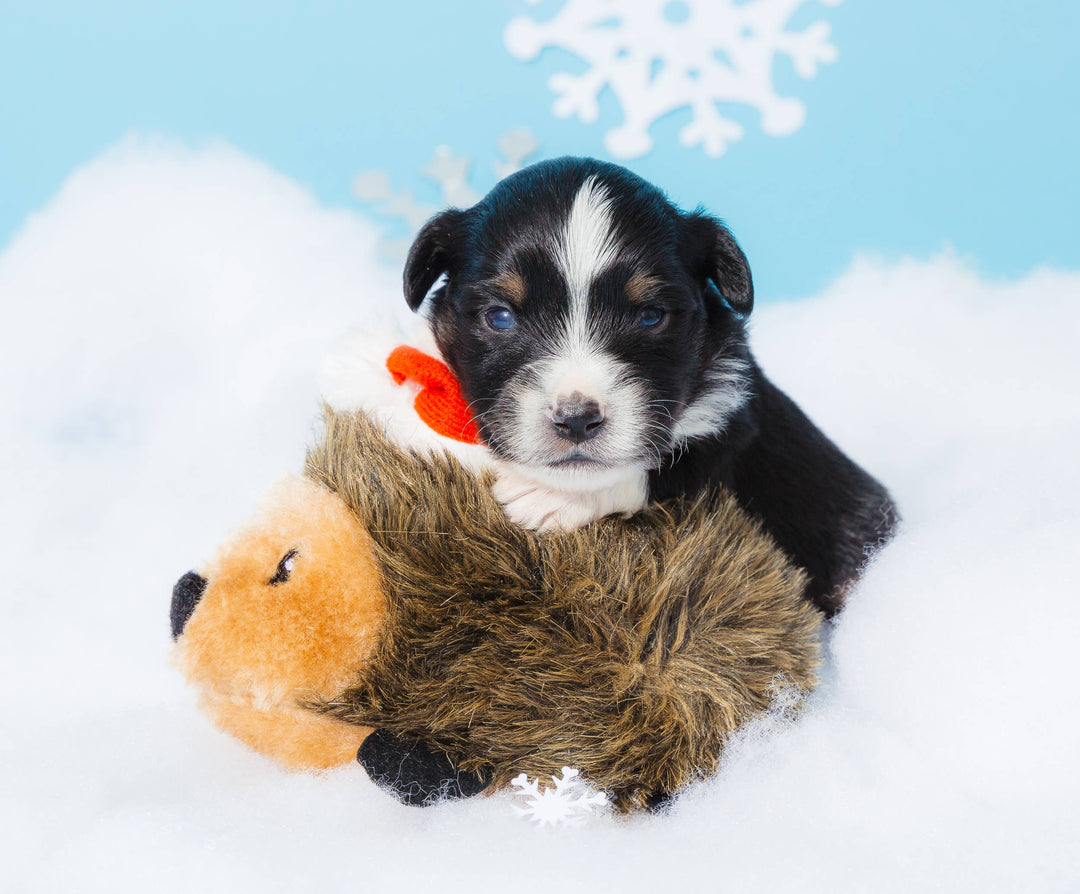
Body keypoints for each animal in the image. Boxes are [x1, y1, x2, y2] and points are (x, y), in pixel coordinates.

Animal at [401, 157, 898, 613]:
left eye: (651, 316)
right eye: (500, 317)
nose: (577, 420)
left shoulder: (733, 425)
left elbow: (666, 467)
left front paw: (548, 496)